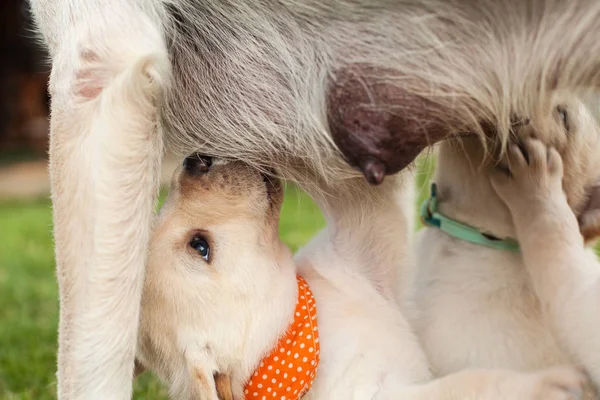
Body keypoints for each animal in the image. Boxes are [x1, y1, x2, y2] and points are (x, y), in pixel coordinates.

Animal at [136, 155, 584, 398]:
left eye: (162, 207)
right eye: (200, 246)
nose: (193, 161)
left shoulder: (358, 250)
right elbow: (468, 385)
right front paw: (544, 387)